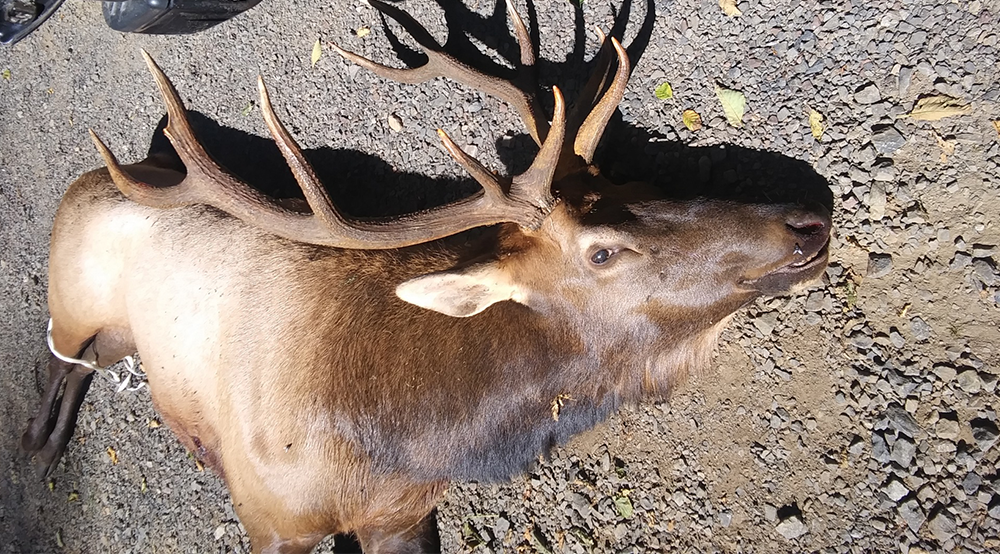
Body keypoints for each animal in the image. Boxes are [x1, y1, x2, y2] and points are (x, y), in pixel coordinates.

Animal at [21, 1, 830, 552]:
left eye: (641, 182)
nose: (807, 221)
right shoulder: (272, 520)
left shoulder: (400, 513)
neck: (400, 441)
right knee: (55, 355)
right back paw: (38, 442)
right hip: (73, 296)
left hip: (125, 336)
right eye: (601, 252)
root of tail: (105, 173)